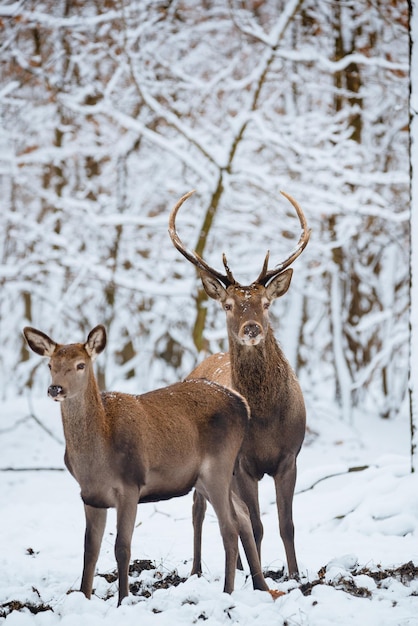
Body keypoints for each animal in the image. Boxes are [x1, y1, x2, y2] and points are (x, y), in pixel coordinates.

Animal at [22, 324, 274, 604]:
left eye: (80, 365)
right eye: (50, 364)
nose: (55, 389)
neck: (97, 457)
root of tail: (242, 403)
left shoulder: (130, 485)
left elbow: (122, 547)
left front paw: (123, 600)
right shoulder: (91, 496)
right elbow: (90, 550)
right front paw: (84, 597)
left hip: (218, 466)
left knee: (229, 526)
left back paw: (228, 591)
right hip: (207, 476)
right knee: (243, 514)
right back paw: (260, 585)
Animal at [167, 188, 310, 576]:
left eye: (266, 303)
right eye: (229, 304)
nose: (251, 329)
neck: (266, 418)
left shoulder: (289, 457)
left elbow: (287, 524)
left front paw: (294, 574)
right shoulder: (244, 464)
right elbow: (258, 525)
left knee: (230, 514)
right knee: (199, 510)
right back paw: (197, 569)